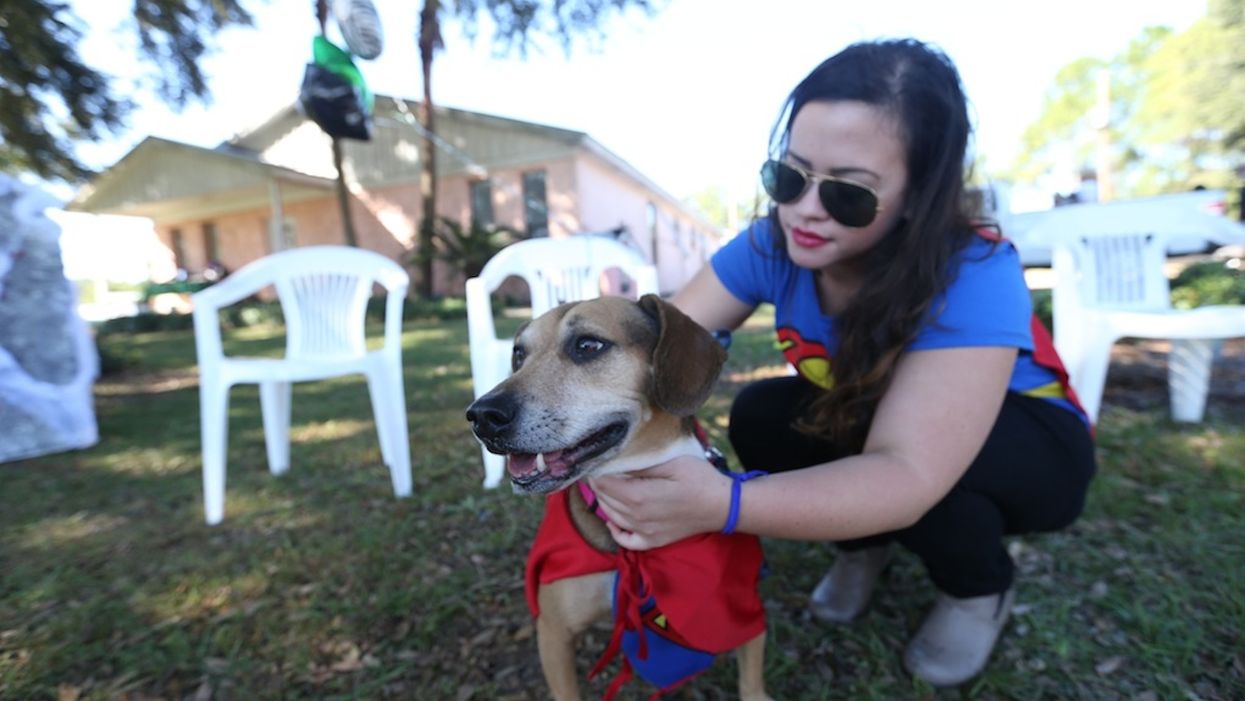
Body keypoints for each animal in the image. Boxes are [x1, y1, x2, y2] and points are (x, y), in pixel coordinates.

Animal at [468, 295, 766, 701]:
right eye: (518, 354)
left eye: (588, 346)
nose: (481, 416)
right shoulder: (553, 633)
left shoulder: (743, 613)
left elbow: (752, 682)